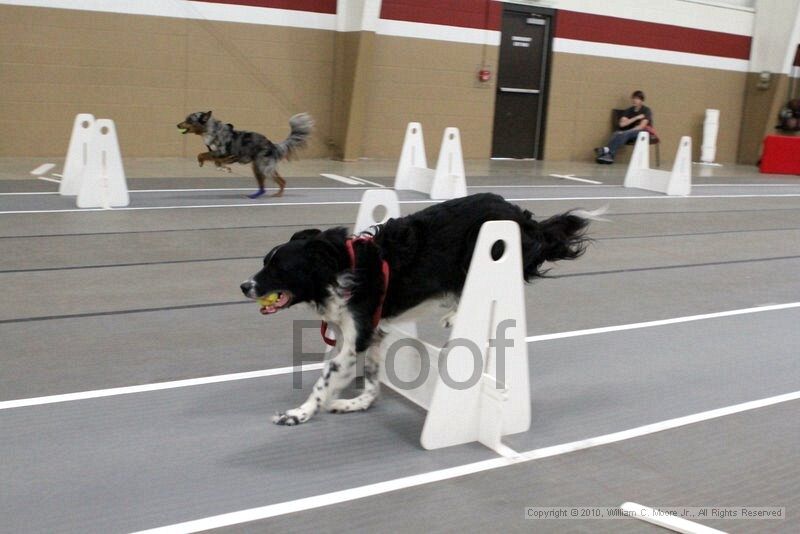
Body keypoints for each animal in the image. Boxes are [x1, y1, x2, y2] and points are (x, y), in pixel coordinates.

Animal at [178, 112, 312, 199]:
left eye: (189, 120)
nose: (177, 125)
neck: (211, 131)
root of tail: (273, 145)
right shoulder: (219, 154)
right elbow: (214, 160)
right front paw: (224, 168)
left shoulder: (223, 152)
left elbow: (203, 154)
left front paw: (205, 162)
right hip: (258, 168)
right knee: (266, 186)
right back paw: (255, 196)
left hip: (264, 168)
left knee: (281, 181)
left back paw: (278, 195)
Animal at [242, 194, 600, 428]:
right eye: (265, 262)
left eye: (278, 268)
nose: (244, 286)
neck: (338, 268)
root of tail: (522, 216)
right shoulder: (370, 332)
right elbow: (371, 378)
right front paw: (358, 403)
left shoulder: (357, 336)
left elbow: (326, 378)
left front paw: (297, 414)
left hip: (483, 250)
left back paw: (455, 314)